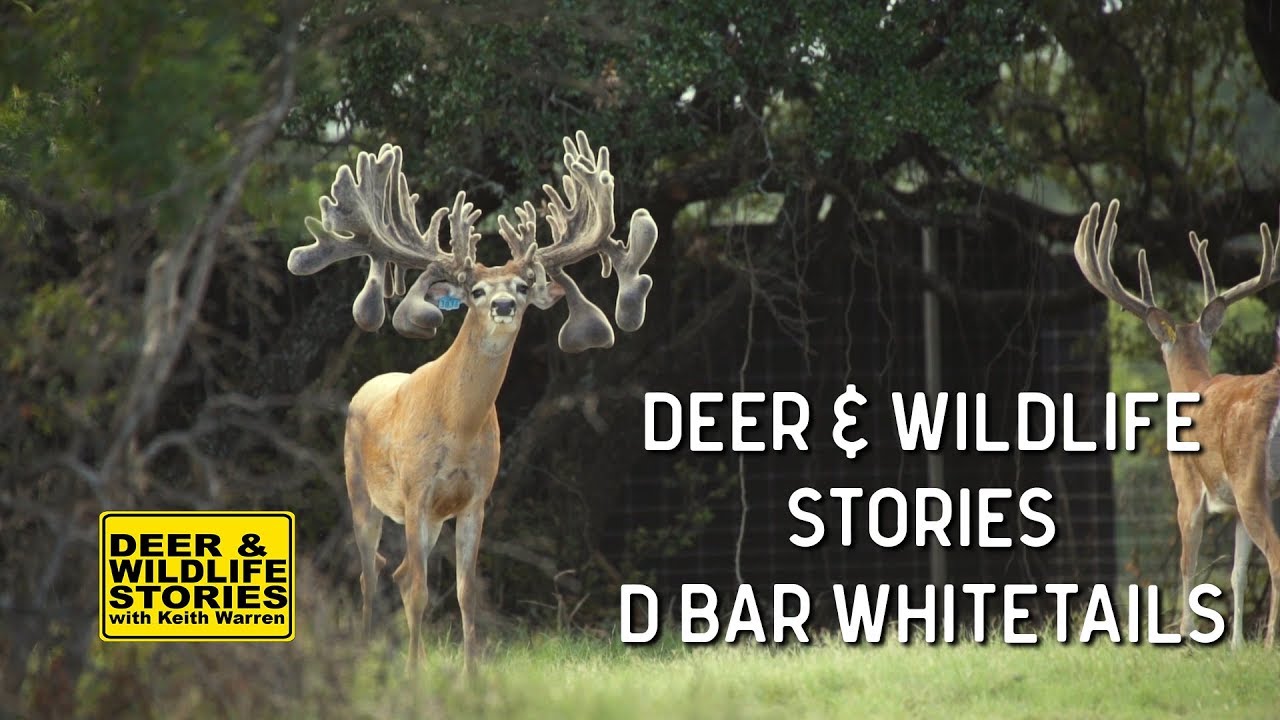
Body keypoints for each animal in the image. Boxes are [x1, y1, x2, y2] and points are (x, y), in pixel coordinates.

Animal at [285, 131, 657, 671]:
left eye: (523, 286)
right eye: (476, 290)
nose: (503, 305)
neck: (457, 426)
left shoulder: (477, 497)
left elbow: (464, 592)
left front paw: (469, 671)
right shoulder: (417, 491)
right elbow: (422, 591)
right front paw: (415, 673)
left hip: (426, 516)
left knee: (398, 572)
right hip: (361, 490)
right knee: (372, 574)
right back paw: (370, 651)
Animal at [1073, 198, 1280, 648]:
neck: (1197, 384)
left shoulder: (1187, 487)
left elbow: (1188, 567)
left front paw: (1185, 637)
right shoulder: (1235, 506)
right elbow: (1237, 574)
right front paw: (1236, 646)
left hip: (1250, 480)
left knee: (1275, 555)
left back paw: (1272, 638)